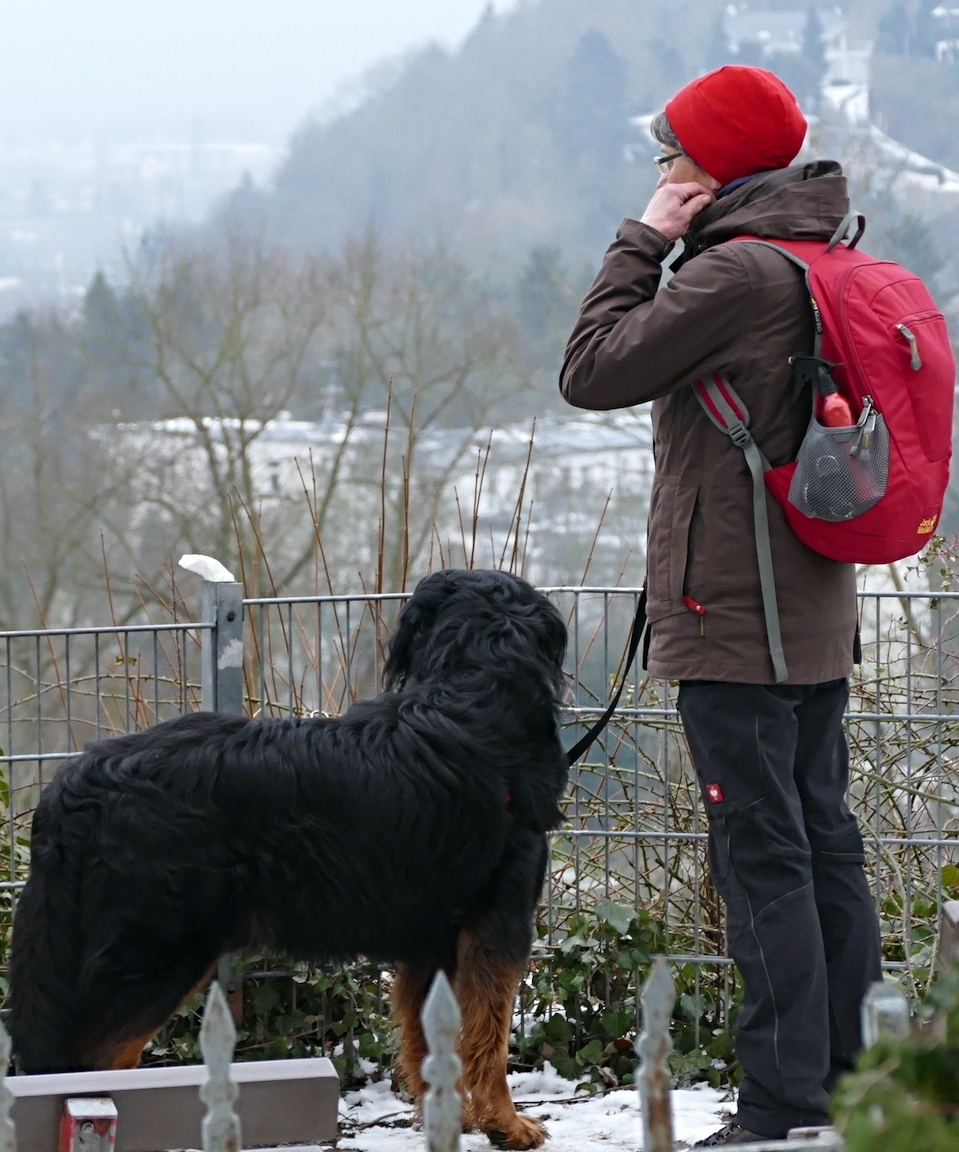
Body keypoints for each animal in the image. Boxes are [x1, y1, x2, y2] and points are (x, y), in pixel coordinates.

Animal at [11, 571, 564, 1147]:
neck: (475, 690)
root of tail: (76, 785)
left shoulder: (433, 936)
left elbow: (435, 1040)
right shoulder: (498, 923)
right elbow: (489, 1038)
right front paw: (506, 1122)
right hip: (152, 956)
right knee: (89, 1067)